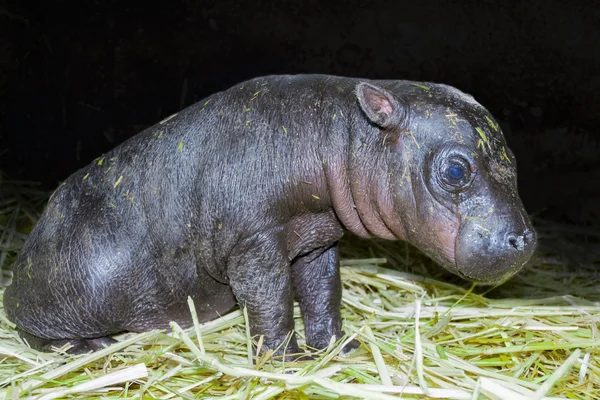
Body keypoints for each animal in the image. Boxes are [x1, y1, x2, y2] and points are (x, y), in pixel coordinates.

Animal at [2, 74, 536, 356]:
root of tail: (25, 252)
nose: (525, 239)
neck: (343, 134)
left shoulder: (317, 239)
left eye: (513, 158)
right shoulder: (253, 242)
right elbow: (271, 298)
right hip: (73, 286)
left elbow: (322, 292)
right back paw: (91, 348)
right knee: (33, 329)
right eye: (455, 169)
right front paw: (286, 360)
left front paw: (337, 349)